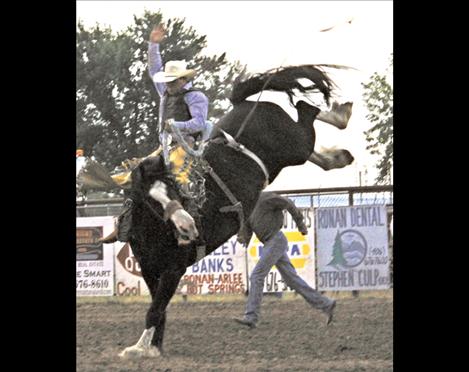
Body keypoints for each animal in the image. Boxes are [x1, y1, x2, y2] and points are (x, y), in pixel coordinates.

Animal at [119, 64, 352, 358]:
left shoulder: (173, 269)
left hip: (293, 144)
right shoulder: (150, 269)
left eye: (173, 188)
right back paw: (337, 154)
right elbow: (158, 309)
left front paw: (138, 349)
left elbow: (155, 309)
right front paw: (154, 347)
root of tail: (243, 103)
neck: (154, 231)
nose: (187, 227)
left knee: (305, 111)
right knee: (309, 134)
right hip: (288, 153)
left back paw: (339, 115)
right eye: (148, 198)